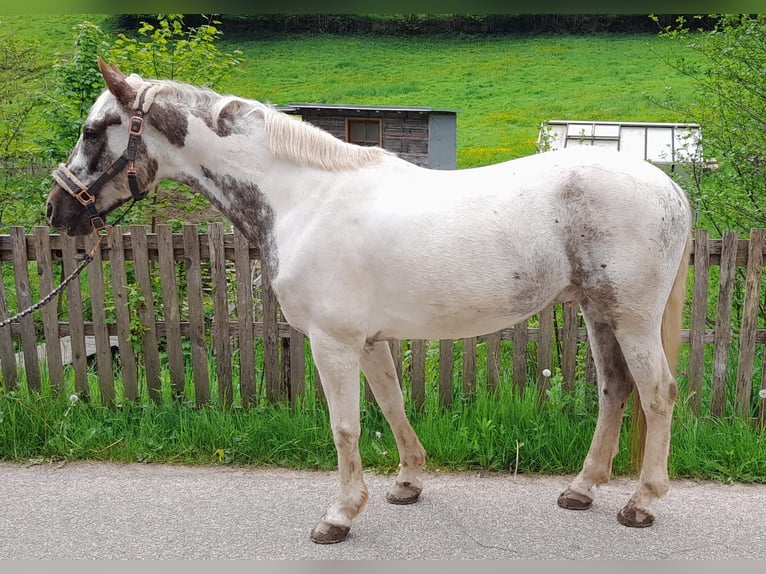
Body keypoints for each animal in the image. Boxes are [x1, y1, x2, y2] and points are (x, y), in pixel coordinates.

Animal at [48, 59, 696, 548]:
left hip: (632, 318)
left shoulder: (332, 342)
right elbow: (391, 404)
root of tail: (668, 186)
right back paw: (581, 489)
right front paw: (408, 482)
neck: (304, 197)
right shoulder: (369, 340)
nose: (57, 210)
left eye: (93, 130)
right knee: (615, 389)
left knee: (657, 393)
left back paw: (641, 502)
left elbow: (345, 426)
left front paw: (339, 515)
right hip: (598, 313)